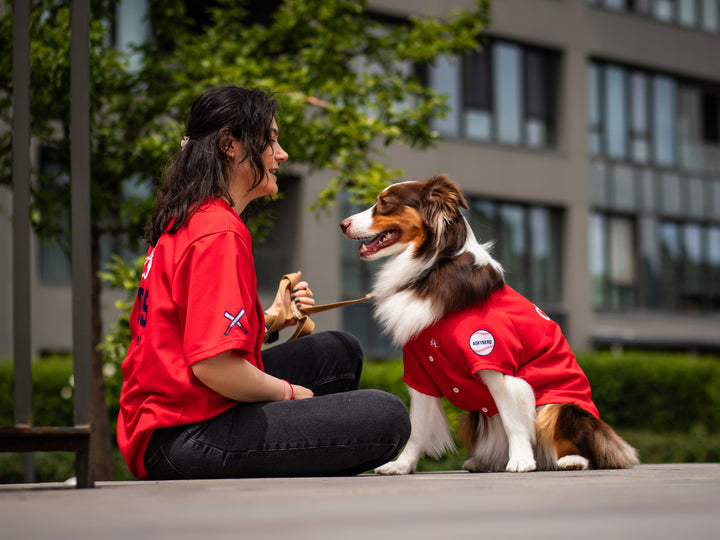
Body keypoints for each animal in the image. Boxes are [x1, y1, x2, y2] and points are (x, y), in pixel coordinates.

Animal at [340, 174, 640, 472]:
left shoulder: (493, 358)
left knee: (589, 444)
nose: (343, 224)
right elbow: (417, 426)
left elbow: (512, 420)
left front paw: (521, 460)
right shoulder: (420, 370)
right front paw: (402, 465)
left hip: (564, 406)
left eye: (385, 203)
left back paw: (571, 460)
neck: (433, 266)